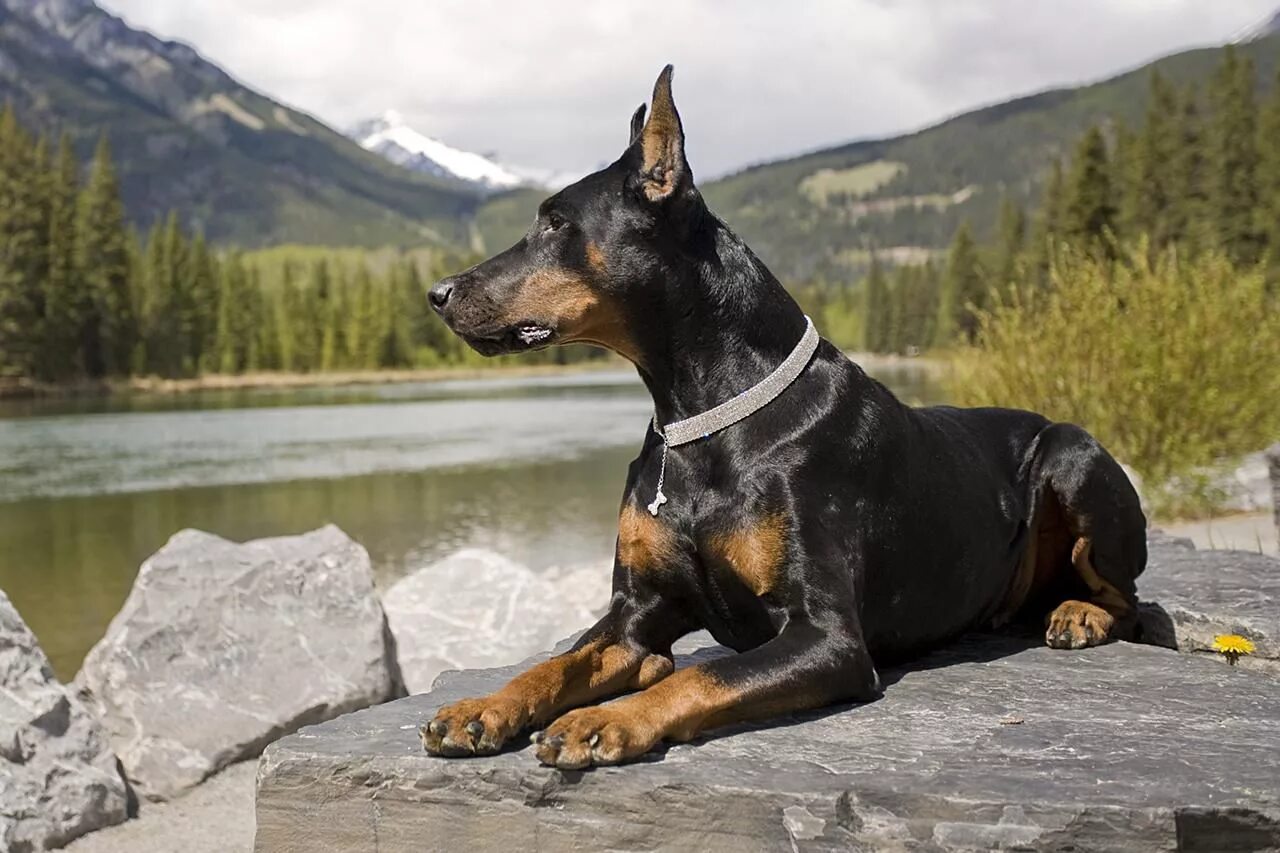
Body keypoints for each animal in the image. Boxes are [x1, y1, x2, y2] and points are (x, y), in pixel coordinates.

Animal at [422, 68, 1152, 768]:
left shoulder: (826, 636)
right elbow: (555, 664)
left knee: (1132, 598)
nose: (437, 293)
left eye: (555, 222)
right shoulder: (635, 616)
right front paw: (482, 708)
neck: (700, 418)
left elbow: (697, 676)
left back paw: (1081, 613)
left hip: (1071, 451)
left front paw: (604, 720)